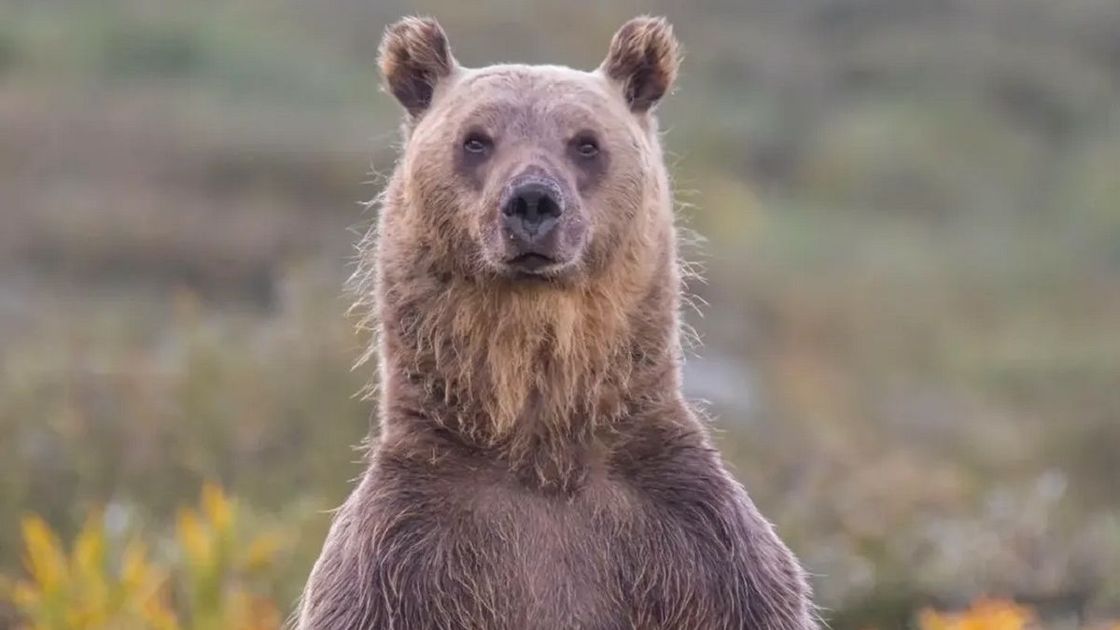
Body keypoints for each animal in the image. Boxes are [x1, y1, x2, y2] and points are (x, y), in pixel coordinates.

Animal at [297, 15, 818, 630]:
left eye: (585, 142)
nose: (532, 201)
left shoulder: (702, 548)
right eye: (476, 139)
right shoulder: (401, 554)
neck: (543, 452)